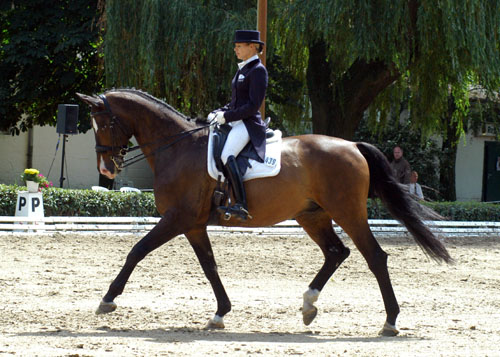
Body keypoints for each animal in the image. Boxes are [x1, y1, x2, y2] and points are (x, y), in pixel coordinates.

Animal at [76, 88, 452, 334]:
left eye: (103, 124)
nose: (106, 169)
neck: (179, 147)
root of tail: (353, 146)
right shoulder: (193, 224)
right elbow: (209, 266)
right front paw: (220, 314)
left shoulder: (177, 219)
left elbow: (136, 251)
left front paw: (107, 300)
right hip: (312, 215)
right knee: (336, 252)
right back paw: (308, 305)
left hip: (348, 212)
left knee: (374, 257)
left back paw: (389, 321)